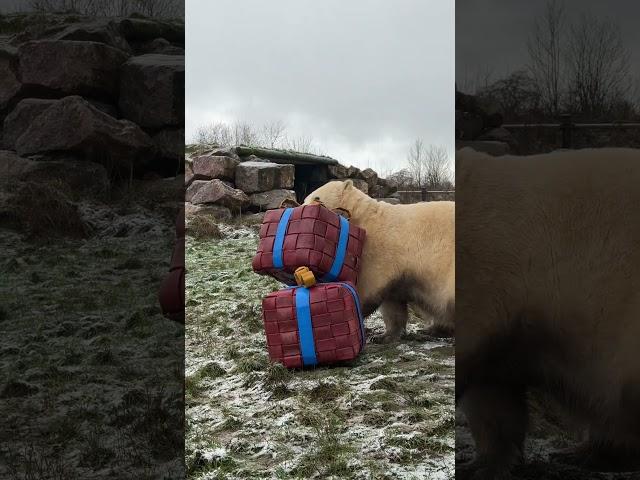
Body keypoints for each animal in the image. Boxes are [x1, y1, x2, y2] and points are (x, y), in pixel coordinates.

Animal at [302, 180, 456, 342]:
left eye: (317, 197)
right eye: (305, 198)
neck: (363, 219)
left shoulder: (375, 252)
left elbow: (368, 288)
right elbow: (392, 303)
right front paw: (384, 336)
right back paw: (432, 329)